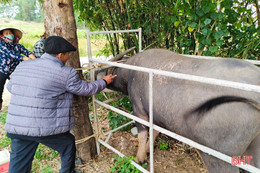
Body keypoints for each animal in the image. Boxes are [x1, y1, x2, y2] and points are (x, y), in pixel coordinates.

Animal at [98, 49, 258, 173]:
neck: (131, 71)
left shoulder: (139, 109)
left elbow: (142, 135)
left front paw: (140, 159)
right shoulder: (157, 115)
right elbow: (154, 132)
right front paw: (149, 150)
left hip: (218, 157)